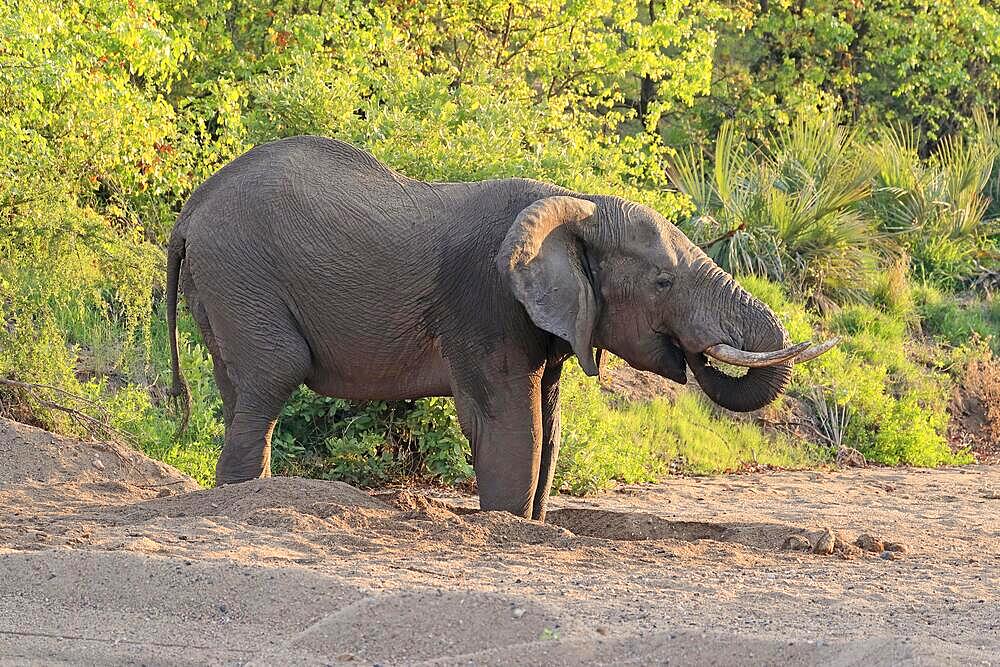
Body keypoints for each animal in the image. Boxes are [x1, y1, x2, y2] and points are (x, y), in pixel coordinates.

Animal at [166, 136, 836, 520]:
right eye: (664, 283)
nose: (692, 352)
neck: (574, 203)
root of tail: (190, 209)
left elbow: (550, 424)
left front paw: (533, 523)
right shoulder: (486, 304)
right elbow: (515, 421)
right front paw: (509, 523)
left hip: (221, 286)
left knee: (240, 390)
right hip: (240, 272)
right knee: (273, 377)